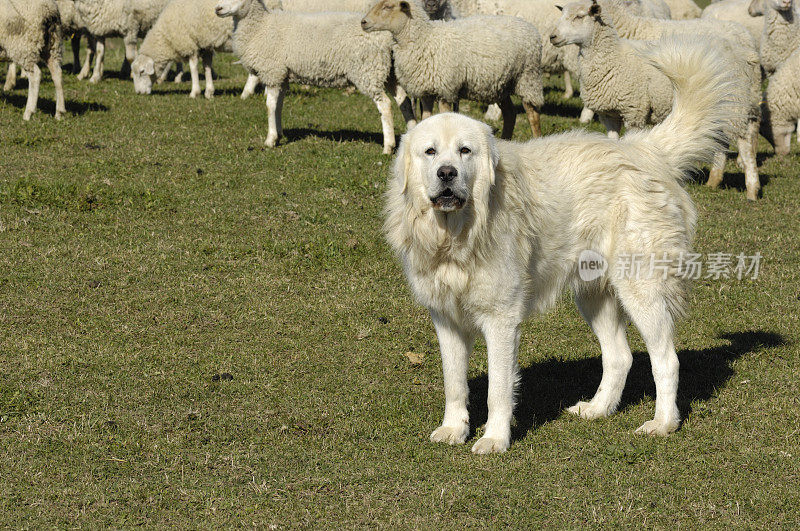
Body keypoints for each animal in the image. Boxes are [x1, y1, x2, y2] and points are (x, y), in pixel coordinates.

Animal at [216, 0, 416, 154]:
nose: (217, 8)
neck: (260, 26)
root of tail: (387, 37)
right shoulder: (282, 76)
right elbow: (279, 106)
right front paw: (279, 134)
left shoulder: (272, 71)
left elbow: (270, 105)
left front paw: (270, 140)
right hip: (390, 72)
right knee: (404, 101)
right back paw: (412, 132)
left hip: (368, 71)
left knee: (385, 105)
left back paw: (388, 146)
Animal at [362, 0, 544, 139]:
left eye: (388, 6)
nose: (363, 22)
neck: (424, 38)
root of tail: (529, 26)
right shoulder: (426, 91)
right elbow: (425, 119)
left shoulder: (445, 89)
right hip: (501, 84)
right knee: (510, 114)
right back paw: (505, 141)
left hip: (527, 77)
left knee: (532, 114)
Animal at [384, 36, 748, 454]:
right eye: (430, 152)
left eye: (465, 151)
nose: (447, 174)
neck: (457, 236)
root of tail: (643, 149)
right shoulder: (446, 318)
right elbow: (455, 383)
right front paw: (454, 429)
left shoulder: (501, 319)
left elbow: (497, 389)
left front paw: (494, 439)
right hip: (594, 295)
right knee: (620, 357)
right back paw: (598, 409)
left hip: (641, 289)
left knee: (666, 360)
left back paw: (662, 424)